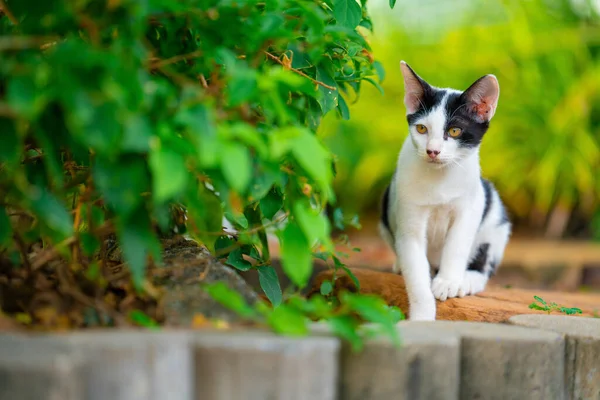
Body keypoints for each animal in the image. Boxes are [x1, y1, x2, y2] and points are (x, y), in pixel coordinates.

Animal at [380, 61, 510, 320]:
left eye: (455, 131)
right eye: (421, 129)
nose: (432, 151)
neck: (440, 178)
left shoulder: (472, 204)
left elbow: (457, 244)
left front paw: (448, 282)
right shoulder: (408, 216)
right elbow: (415, 268)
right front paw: (422, 316)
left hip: (493, 216)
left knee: (484, 263)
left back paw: (467, 280)